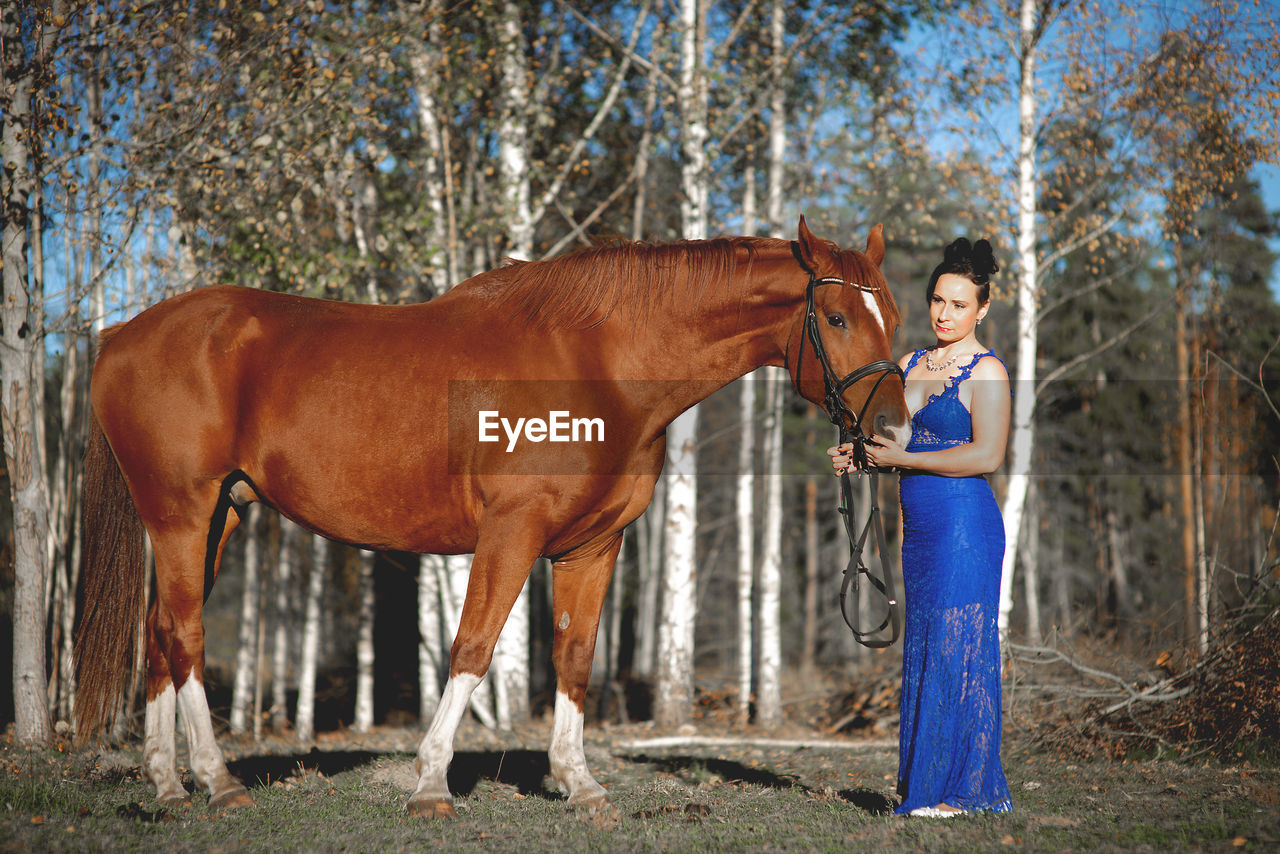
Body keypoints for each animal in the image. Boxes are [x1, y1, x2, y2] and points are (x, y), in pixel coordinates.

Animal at [72, 217, 911, 824]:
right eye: (836, 316)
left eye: (895, 314)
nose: (894, 431)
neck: (600, 363)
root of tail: (119, 337)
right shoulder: (512, 532)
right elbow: (473, 646)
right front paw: (429, 786)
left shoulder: (592, 547)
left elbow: (574, 657)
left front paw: (580, 785)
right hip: (181, 511)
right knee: (184, 632)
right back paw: (217, 784)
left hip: (221, 515)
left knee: (158, 629)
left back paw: (167, 786)